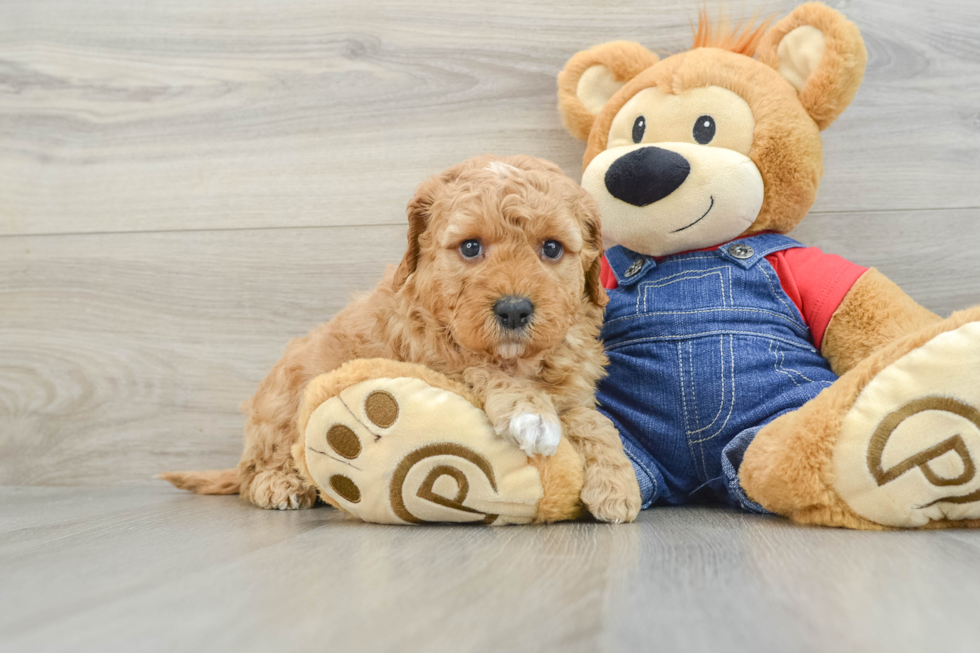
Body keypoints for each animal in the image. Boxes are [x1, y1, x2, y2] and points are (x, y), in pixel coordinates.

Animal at [167, 155, 644, 524]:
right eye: (470, 247)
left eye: (551, 248)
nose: (514, 310)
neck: (517, 359)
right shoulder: (437, 359)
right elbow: (480, 368)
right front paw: (532, 413)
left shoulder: (572, 388)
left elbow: (594, 422)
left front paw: (617, 483)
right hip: (282, 401)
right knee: (254, 470)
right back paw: (279, 484)